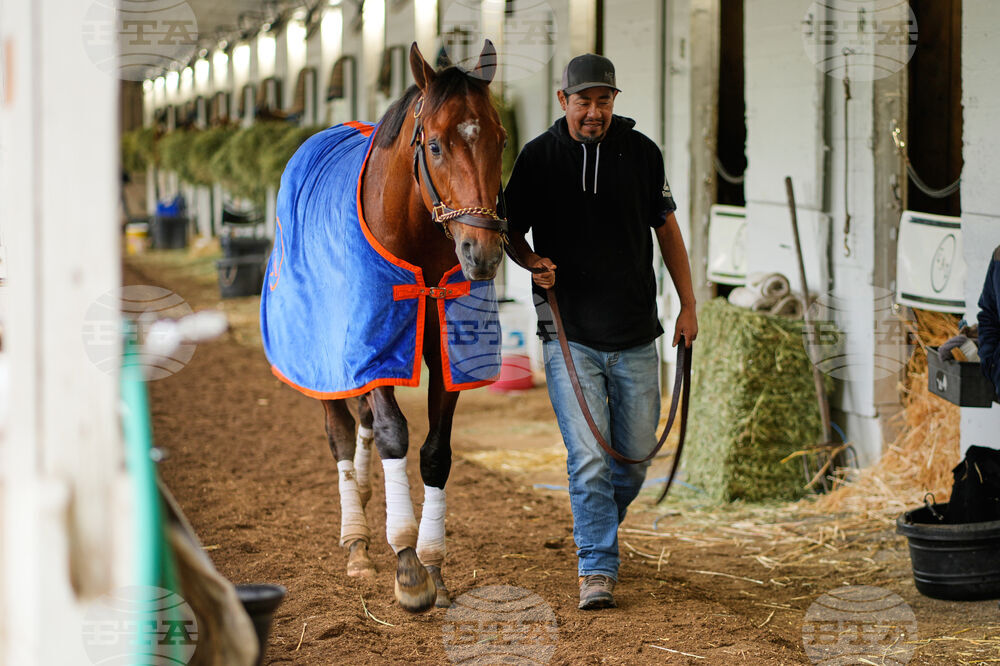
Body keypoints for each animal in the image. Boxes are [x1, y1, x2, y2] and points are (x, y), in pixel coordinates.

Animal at [260, 41, 507, 614]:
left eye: (500, 139)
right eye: (435, 145)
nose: (481, 253)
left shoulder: (446, 353)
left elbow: (435, 452)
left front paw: (434, 565)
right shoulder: (371, 346)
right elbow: (395, 433)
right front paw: (408, 566)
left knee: (362, 426)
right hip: (321, 354)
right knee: (339, 431)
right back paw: (356, 540)